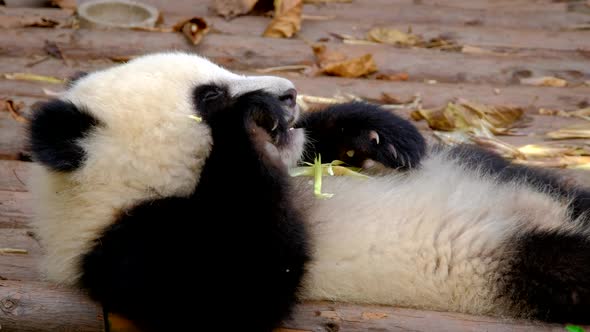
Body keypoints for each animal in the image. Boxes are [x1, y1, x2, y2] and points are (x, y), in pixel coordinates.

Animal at [28, 52, 590, 330]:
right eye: (208, 96)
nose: (289, 93)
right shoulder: (128, 246)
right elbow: (239, 290)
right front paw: (248, 124)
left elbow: (316, 148)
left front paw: (377, 133)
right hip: (509, 262)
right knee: (562, 264)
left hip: (528, 186)